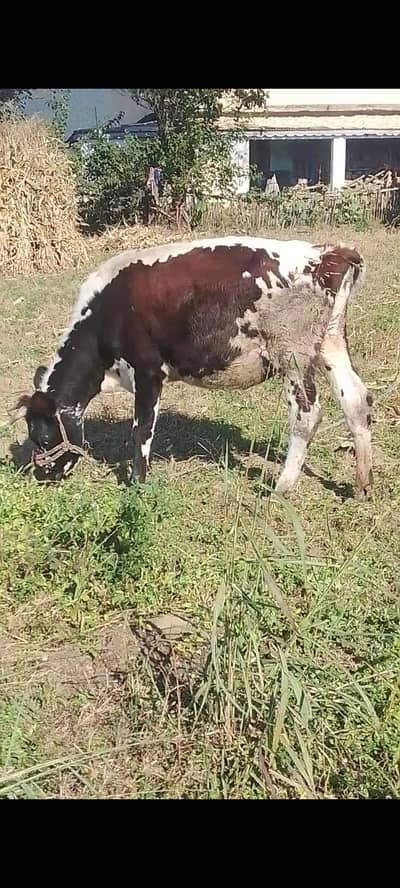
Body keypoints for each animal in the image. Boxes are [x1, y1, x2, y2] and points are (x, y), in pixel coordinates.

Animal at [14, 236, 372, 497]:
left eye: (41, 437)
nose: (43, 475)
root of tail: (327, 252)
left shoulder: (147, 370)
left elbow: (142, 430)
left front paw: (137, 483)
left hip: (292, 353)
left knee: (306, 414)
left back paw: (282, 487)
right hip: (330, 343)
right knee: (356, 400)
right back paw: (361, 485)